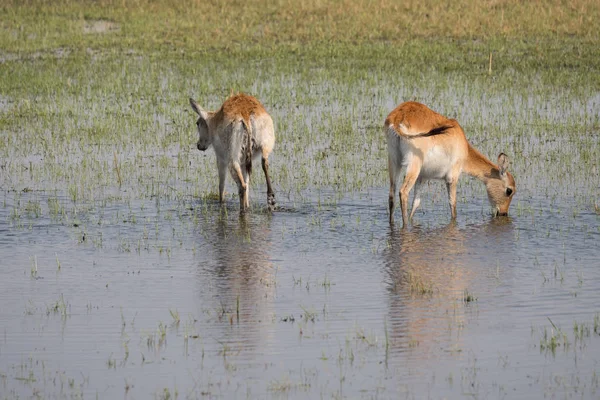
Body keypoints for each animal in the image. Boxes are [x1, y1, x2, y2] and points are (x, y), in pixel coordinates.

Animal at [386, 101, 516, 227]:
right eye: (509, 190)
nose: (503, 213)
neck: (464, 148)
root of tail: (398, 117)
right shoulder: (452, 178)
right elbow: (453, 205)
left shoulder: (423, 176)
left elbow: (416, 203)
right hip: (413, 165)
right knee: (403, 192)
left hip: (394, 162)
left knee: (392, 195)